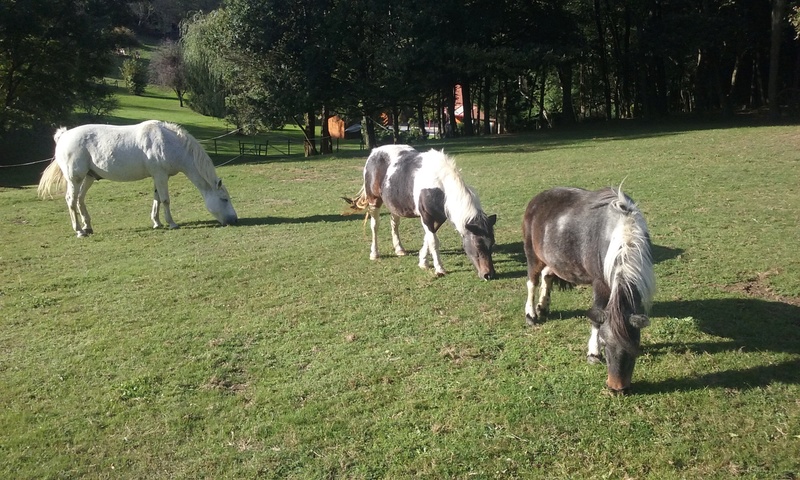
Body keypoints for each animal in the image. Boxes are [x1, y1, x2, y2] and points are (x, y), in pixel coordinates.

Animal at [38, 120, 238, 236]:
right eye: (224, 199)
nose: (234, 220)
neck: (169, 142)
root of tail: (64, 135)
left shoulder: (158, 176)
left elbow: (157, 199)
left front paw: (157, 223)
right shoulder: (160, 175)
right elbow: (165, 200)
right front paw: (171, 223)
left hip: (88, 177)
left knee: (80, 199)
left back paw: (87, 226)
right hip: (75, 178)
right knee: (71, 200)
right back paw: (79, 230)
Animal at [346, 144, 496, 280]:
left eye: (492, 243)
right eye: (478, 244)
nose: (488, 274)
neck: (440, 185)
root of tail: (375, 151)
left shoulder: (438, 217)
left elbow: (428, 238)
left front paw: (423, 262)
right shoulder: (427, 216)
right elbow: (433, 241)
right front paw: (439, 269)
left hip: (395, 204)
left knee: (394, 224)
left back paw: (399, 249)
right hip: (374, 201)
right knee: (375, 226)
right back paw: (374, 253)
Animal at [524, 186, 656, 392]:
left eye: (634, 346)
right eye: (606, 344)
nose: (617, 388)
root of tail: (537, 198)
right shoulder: (599, 283)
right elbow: (597, 315)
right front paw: (593, 353)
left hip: (553, 260)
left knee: (547, 276)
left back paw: (543, 307)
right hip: (532, 254)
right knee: (532, 282)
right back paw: (531, 314)